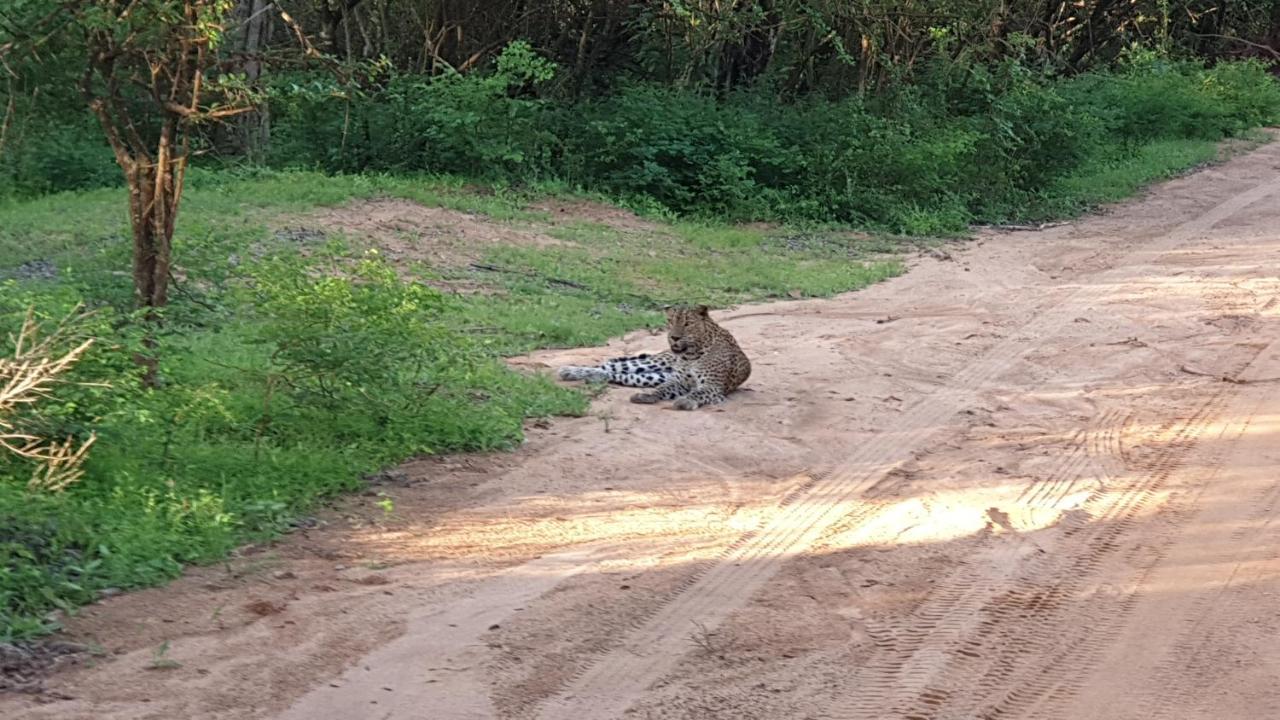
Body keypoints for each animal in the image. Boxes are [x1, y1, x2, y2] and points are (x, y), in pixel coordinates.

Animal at [555, 302, 747, 409]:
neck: (691, 354)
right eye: (670, 322)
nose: (674, 337)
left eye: (687, 323)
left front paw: (685, 401)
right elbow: (661, 389)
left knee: (617, 374)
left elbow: (697, 393)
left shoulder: (712, 386)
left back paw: (590, 377)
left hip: (653, 375)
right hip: (655, 363)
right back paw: (570, 371)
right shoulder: (677, 381)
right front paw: (648, 396)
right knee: (609, 365)